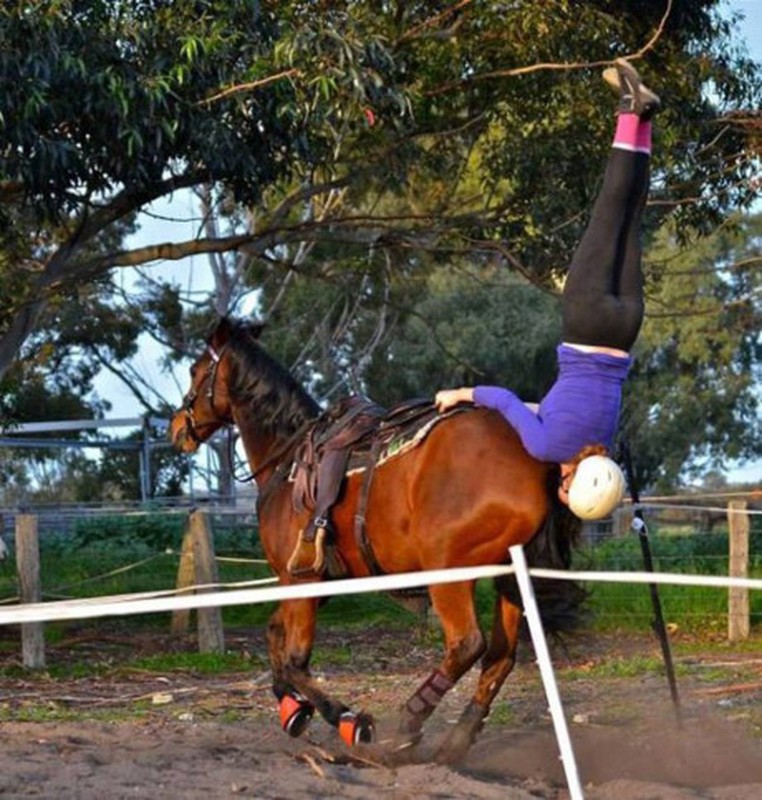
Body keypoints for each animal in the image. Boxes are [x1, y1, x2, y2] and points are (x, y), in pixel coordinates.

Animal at [169, 318, 580, 764]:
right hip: (508, 577)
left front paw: (348, 719)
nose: (176, 428)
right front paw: (292, 708)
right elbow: (274, 635)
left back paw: (408, 724)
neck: (289, 460)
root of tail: (533, 460)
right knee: (499, 657)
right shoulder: (313, 584)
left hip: (449, 572)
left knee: (467, 645)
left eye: (194, 370)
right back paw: (455, 741)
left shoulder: (300, 580)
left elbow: (295, 659)